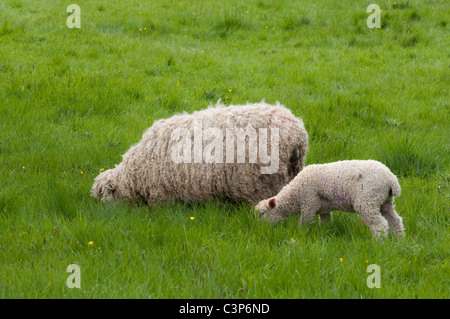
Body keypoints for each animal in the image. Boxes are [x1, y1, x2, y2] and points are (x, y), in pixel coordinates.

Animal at [91, 102, 310, 208]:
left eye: (105, 194)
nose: (105, 211)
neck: (136, 173)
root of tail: (296, 134)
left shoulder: (162, 194)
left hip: (264, 181)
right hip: (291, 172)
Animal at [255, 161, 406, 239]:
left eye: (262, 214)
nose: (259, 229)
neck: (295, 194)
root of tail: (391, 180)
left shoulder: (309, 203)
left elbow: (304, 222)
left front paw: (300, 234)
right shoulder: (323, 209)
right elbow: (326, 222)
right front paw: (325, 233)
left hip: (368, 200)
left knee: (380, 224)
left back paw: (378, 242)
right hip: (385, 201)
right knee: (395, 220)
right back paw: (399, 239)